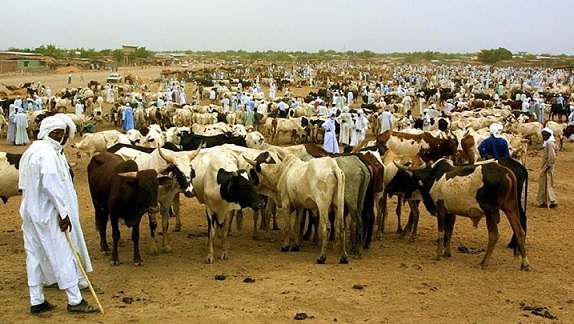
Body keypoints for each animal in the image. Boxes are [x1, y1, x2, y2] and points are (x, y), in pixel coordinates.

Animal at [394, 159, 532, 270]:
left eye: (407, 179)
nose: (404, 195)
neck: (433, 177)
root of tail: (505, 171)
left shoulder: (440, 209)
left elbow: (441, 233)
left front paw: (438, 254)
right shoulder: (451, 212)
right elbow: (449, 232)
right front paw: (447, 253)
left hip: (490, 211)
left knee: (494, 235)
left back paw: (483, 262)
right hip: (510, 208)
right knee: (519, 231)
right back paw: (525, 263)